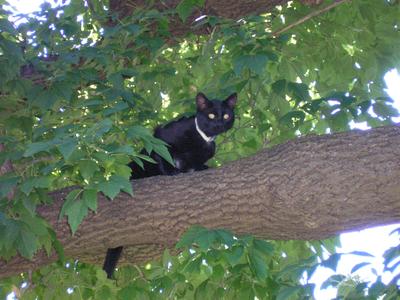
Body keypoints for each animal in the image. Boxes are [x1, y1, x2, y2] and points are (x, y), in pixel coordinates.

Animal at [103, 92, 238, 278]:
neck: (201, 140)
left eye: (226, 116)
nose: (219, 123)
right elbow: (164, 157)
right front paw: (171, 172)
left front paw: (201, 168)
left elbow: (195, 165)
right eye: (211, 115)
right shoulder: (160, 139)